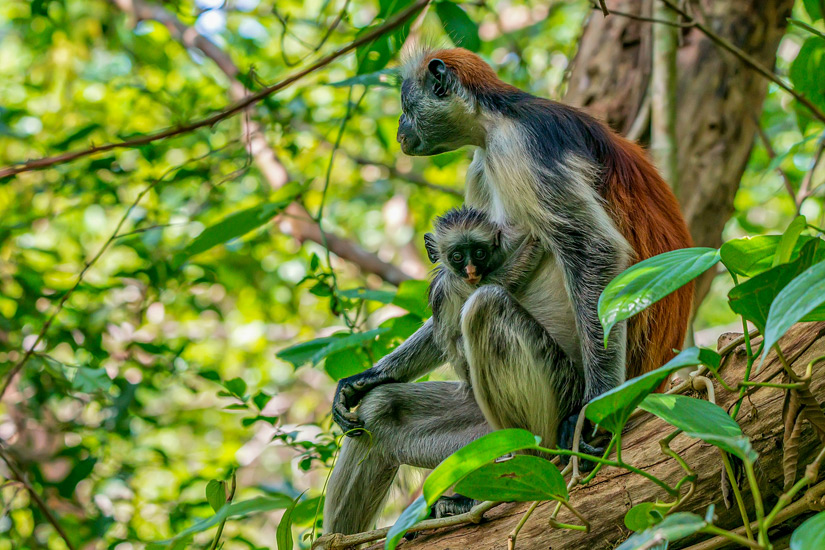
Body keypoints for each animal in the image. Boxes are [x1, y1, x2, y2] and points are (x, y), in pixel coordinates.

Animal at [322, 45, 688, 536]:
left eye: (405, 106)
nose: (401, 127)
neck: (498, 115)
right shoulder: (482, 166)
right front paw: (367, 378)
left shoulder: (522, 146)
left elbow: (594, 249)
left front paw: (591, 418)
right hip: (481, 432)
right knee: (381, 414)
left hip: (558, 392)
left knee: (487, 309)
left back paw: (532, 470)